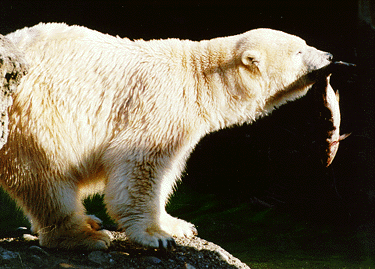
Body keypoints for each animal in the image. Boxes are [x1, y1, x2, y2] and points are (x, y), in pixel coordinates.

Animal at [0, 23, 334, 249]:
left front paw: (176, 225)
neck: (200, 77)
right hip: (34, 118)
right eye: (300, 50)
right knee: (45, 177)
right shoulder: (158, 104)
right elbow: (140, 166)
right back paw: (84, 235)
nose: (330, 56)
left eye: (305, 42)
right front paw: (154, 236)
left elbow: (167, 171)